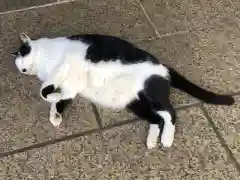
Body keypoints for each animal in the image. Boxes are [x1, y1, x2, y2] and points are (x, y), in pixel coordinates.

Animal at [11, 32, 234, 149]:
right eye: (20, 69)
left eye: (22, 57)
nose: (23, 71)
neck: (44, 64)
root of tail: (163, 66)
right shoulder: (69, 84)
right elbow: (61, 97)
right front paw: (55, 114)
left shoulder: (64, 67)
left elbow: (45, 92)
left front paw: (53, 98)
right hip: (135, 103)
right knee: (156, 119)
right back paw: (152, 141)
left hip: (151, 92)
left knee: (170, 113)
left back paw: (166, 139)